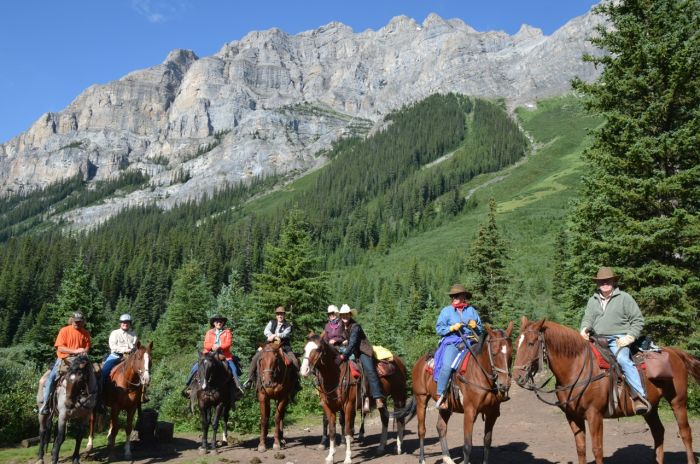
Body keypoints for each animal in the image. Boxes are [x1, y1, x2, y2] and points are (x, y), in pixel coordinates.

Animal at [300, 336, 410, 464]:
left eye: (318, 349)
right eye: (304, 349)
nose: (304, 370)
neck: (336, 376)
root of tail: (399, 361)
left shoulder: (348, 406)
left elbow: (348, 430)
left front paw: (348, 458)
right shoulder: (328, 407)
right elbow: (332, 431)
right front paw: (330, 456)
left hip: (398, 396)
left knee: (400, 419)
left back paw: (398, 447)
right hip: (383, 399)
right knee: (385, 419)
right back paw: (381, 447)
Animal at [394, 322, 516, 464]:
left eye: (511, 352)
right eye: (494, 352)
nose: (504, 384)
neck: (480, 374)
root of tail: (420, 361)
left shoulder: (492, 413)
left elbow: (487, 442)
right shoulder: (470, 412)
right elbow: (467, 446)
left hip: (446, 406)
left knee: (441, 427)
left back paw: (447, 458)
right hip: (421, 399)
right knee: (421, 430)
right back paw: (422, 459)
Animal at [508, 316, 700, 464]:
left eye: (531, 343)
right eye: (517, 343)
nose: (517, 377)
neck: (577, 369)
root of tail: (675, 352)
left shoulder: (595, 415)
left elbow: (597, 449)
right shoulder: (573, 416)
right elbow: (581, 448)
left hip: (678, 401)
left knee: (685, 433)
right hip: (650, 408)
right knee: (658, 432)